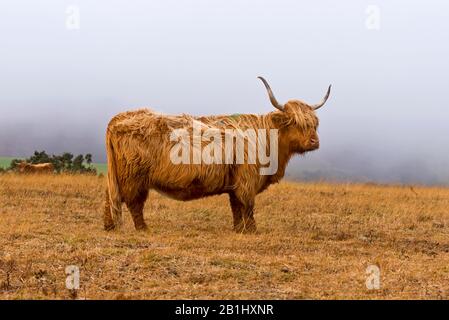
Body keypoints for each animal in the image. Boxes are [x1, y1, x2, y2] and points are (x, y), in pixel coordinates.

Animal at [104, 77, 328, 232]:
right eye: (295, 122)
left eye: (314, 123)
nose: (315, 141)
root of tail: (118, 118)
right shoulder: (248, 180)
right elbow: (248, 205)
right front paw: (252, 231)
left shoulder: (235, 182)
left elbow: (236, 207)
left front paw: (238, 230)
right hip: (134, 177)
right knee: (133, 203)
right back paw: (143, 229)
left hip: (118, 175)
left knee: (110, 196)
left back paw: (109, 226)